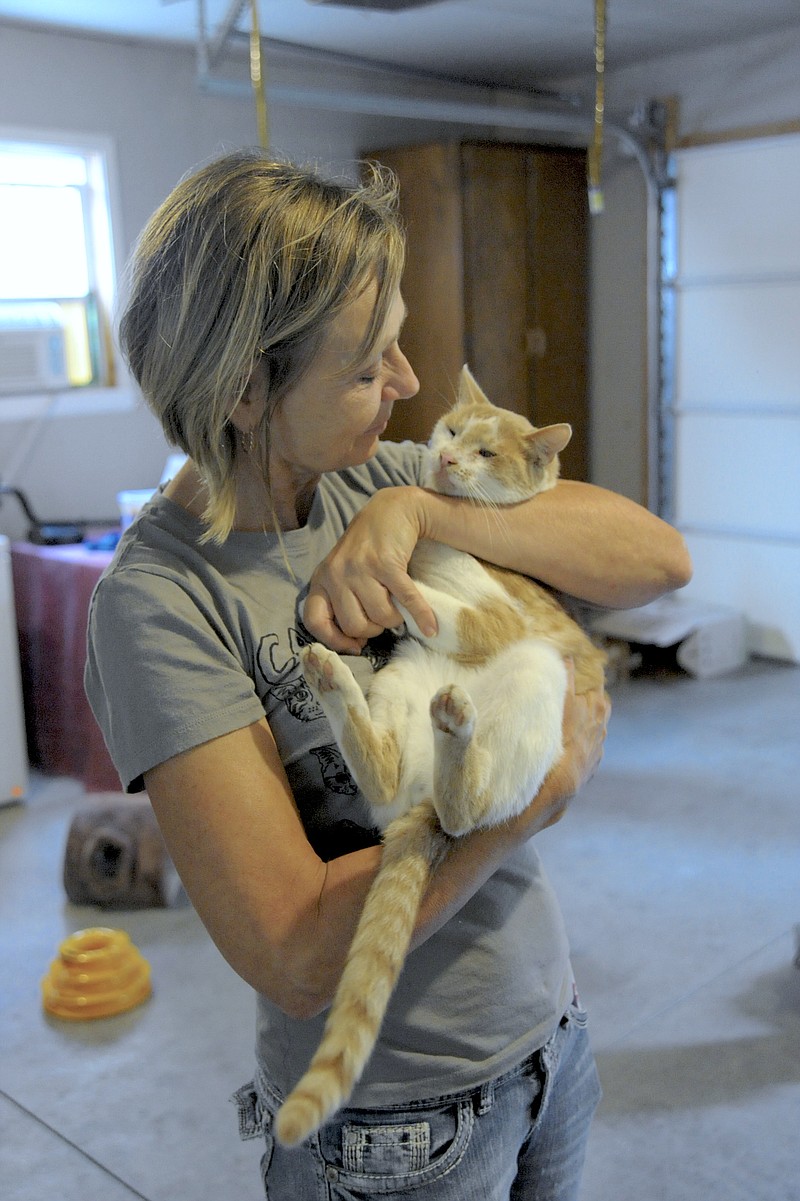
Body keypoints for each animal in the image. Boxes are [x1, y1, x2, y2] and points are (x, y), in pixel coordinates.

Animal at [273, 362, 605, 1143]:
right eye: (452, 431)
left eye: (487, 453)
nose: (449, 459)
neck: (438, 550)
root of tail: (421, 800)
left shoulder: (498, 616)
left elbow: (433, 604)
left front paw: (392, 588)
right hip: (400, 682)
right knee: (386, 774)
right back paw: (334, 678)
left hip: (534, 673)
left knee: (463, 811)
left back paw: (455, 727)